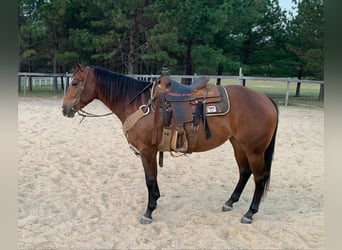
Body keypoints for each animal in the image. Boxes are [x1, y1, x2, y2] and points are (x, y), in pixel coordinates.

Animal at [62, 64, 280, 225]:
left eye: (74, 83)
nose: (65, 109)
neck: (140, 104)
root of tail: (265, 99)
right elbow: (153, 179)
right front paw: (155, 202)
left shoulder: (147, 151)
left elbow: (150, 179)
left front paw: (148, 211)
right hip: (238, 145)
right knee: (244, 172)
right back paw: (230, 202)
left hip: (254, 150)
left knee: (259, 178)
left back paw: (249, 213)